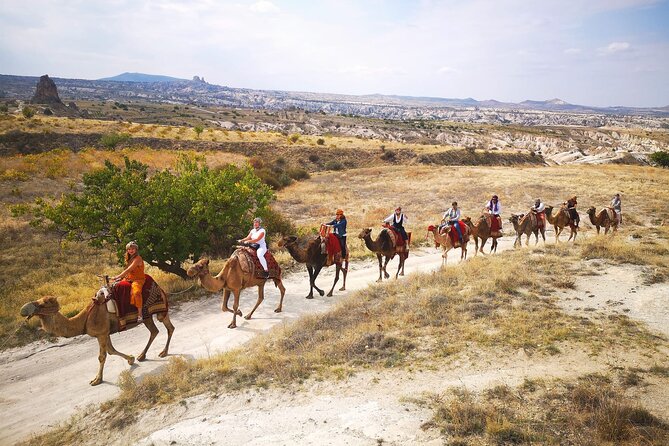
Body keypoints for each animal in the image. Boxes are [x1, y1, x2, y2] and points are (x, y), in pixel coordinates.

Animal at [19, 290, 174, 385]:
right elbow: (111, 350)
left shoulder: (101, 333)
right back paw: (144, 355)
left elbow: (102, 356)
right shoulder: (105, 332)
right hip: (150, 316)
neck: (85, 319)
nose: (24, 309)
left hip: (156, 311)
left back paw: (161, 352)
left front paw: (97, 380)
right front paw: (131, 359)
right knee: (159, 330)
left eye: (44, 302)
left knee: (164, 328)